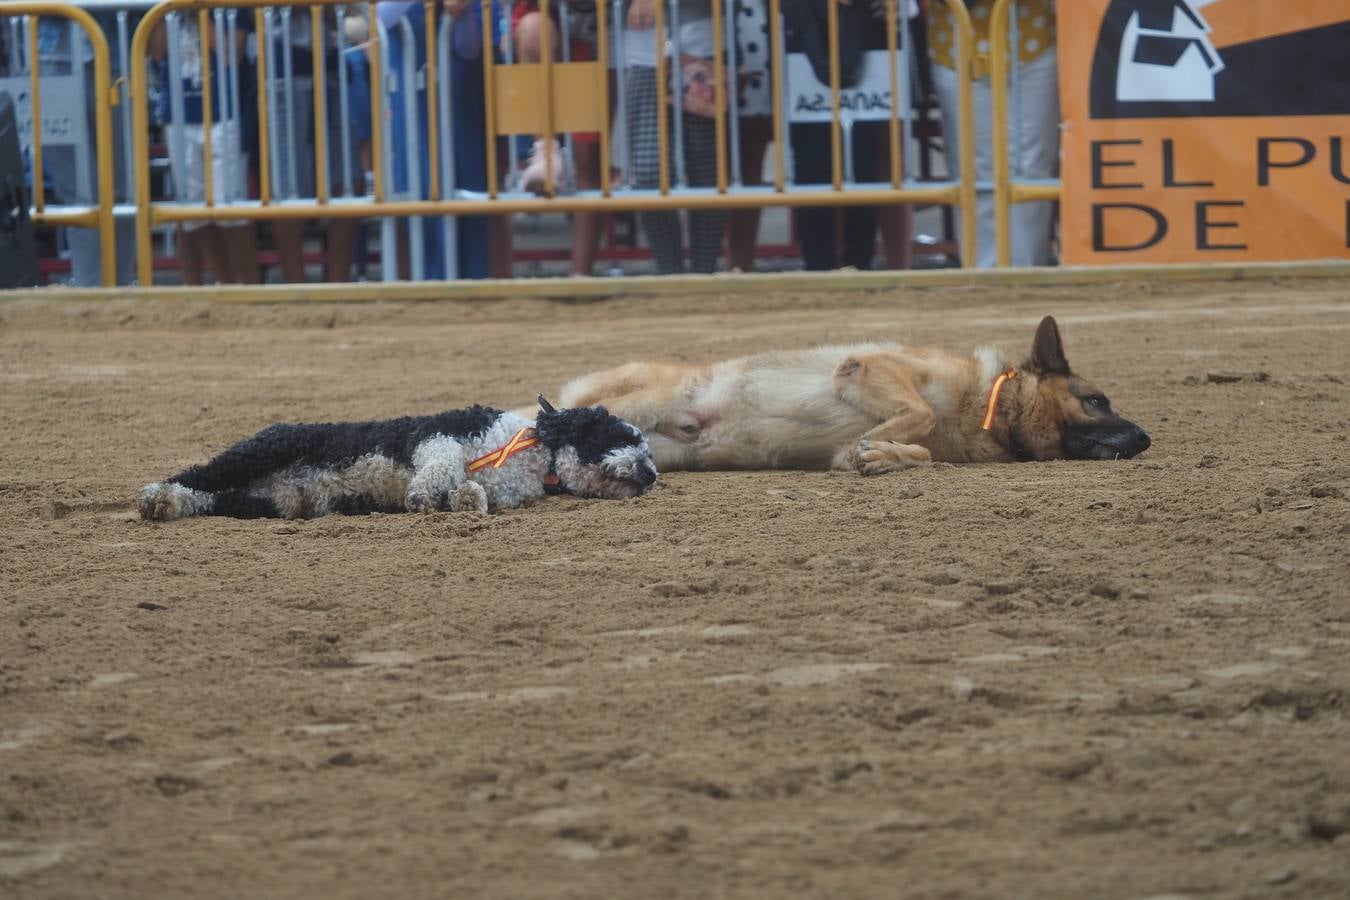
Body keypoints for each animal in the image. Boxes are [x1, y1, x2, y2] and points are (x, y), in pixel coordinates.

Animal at [556, 317, 1150, 474]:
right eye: (1097, 401)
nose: (1146, 437)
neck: (990, 408)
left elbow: (926, 452)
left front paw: (883, 456)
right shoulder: (866, 368)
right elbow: (917, 416)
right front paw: (875, 447)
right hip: (644, 399)